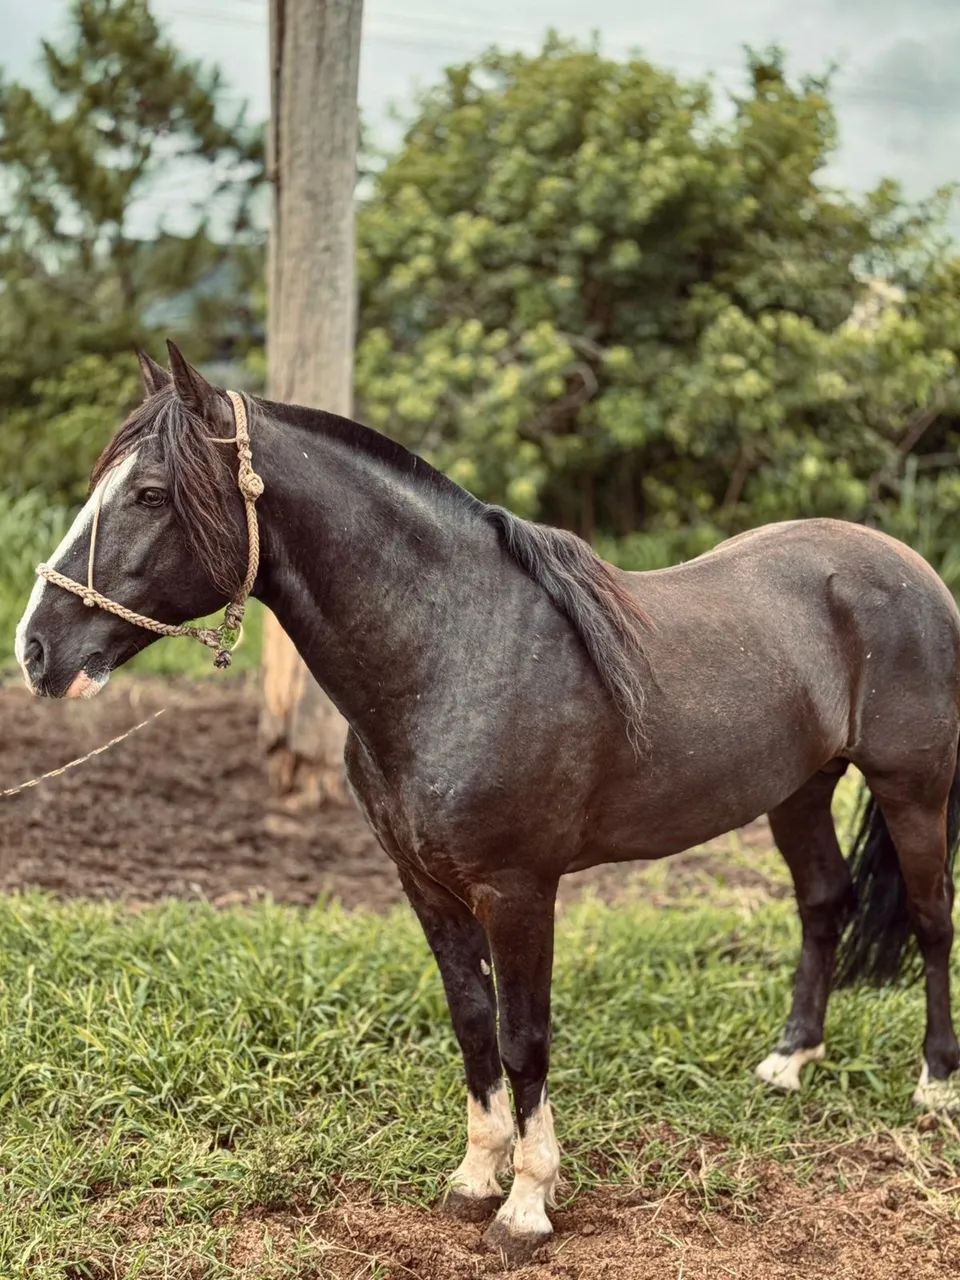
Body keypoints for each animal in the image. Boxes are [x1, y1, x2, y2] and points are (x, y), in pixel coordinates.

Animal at [16, 344, 960, 1265]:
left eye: (150, 493)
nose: (35, 649)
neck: (454, 652)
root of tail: (908, 567)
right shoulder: (427, 887)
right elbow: (472, 1026)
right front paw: (476, 1178)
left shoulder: (518, 891)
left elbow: (522, 1038)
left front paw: (528, 1206)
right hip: (799, 790)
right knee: (824, 901)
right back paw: (790, 1063)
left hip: (914, 790)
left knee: (929, 919)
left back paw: (934, 1086)